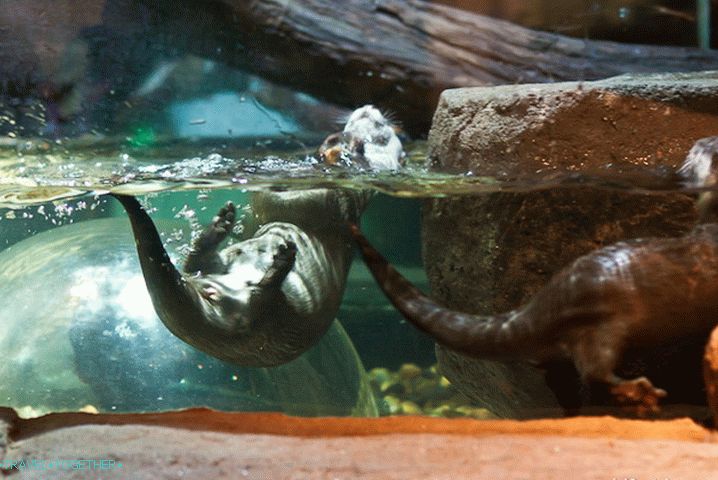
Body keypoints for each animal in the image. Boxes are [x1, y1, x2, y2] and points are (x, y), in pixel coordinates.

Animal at [114, 105, 402, 367]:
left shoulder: (321, 198)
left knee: (259, 298)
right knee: (198, 266)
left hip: (266, 317)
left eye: (380, 128)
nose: (370, 108)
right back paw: (222, 227)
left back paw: (278, 261)